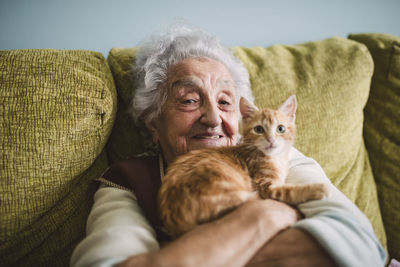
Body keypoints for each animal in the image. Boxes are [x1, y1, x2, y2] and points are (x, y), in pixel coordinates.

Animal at [158, 96, 330, 239]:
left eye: (280, 128)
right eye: (259, 129)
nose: (270, 140)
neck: (273, 158)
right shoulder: (265, 187)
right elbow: (289, 191)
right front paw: (318, 188)